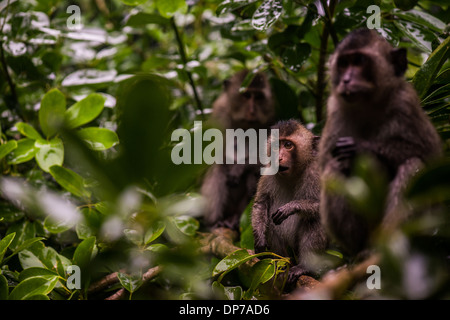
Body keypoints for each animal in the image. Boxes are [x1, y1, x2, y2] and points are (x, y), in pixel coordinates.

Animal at [250, 119, 326, 288]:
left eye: (288, 145)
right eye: (276, 146)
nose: (278, 158)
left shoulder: (315, 173)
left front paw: (292, 207)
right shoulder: (268, 173)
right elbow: (261, 203)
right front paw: (259, 239)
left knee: (314, 219)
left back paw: (303, 267)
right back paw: (281, 262)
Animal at [318, 28, 442, 258]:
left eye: (359, 61)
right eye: (343, 64)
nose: (346, 80)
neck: (368, 104)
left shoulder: (405, 103)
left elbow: (430, 156)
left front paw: (361, 147)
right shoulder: (335, 109)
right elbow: (324, 165)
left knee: (412, 165)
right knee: (333, 167)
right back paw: (359, 249)